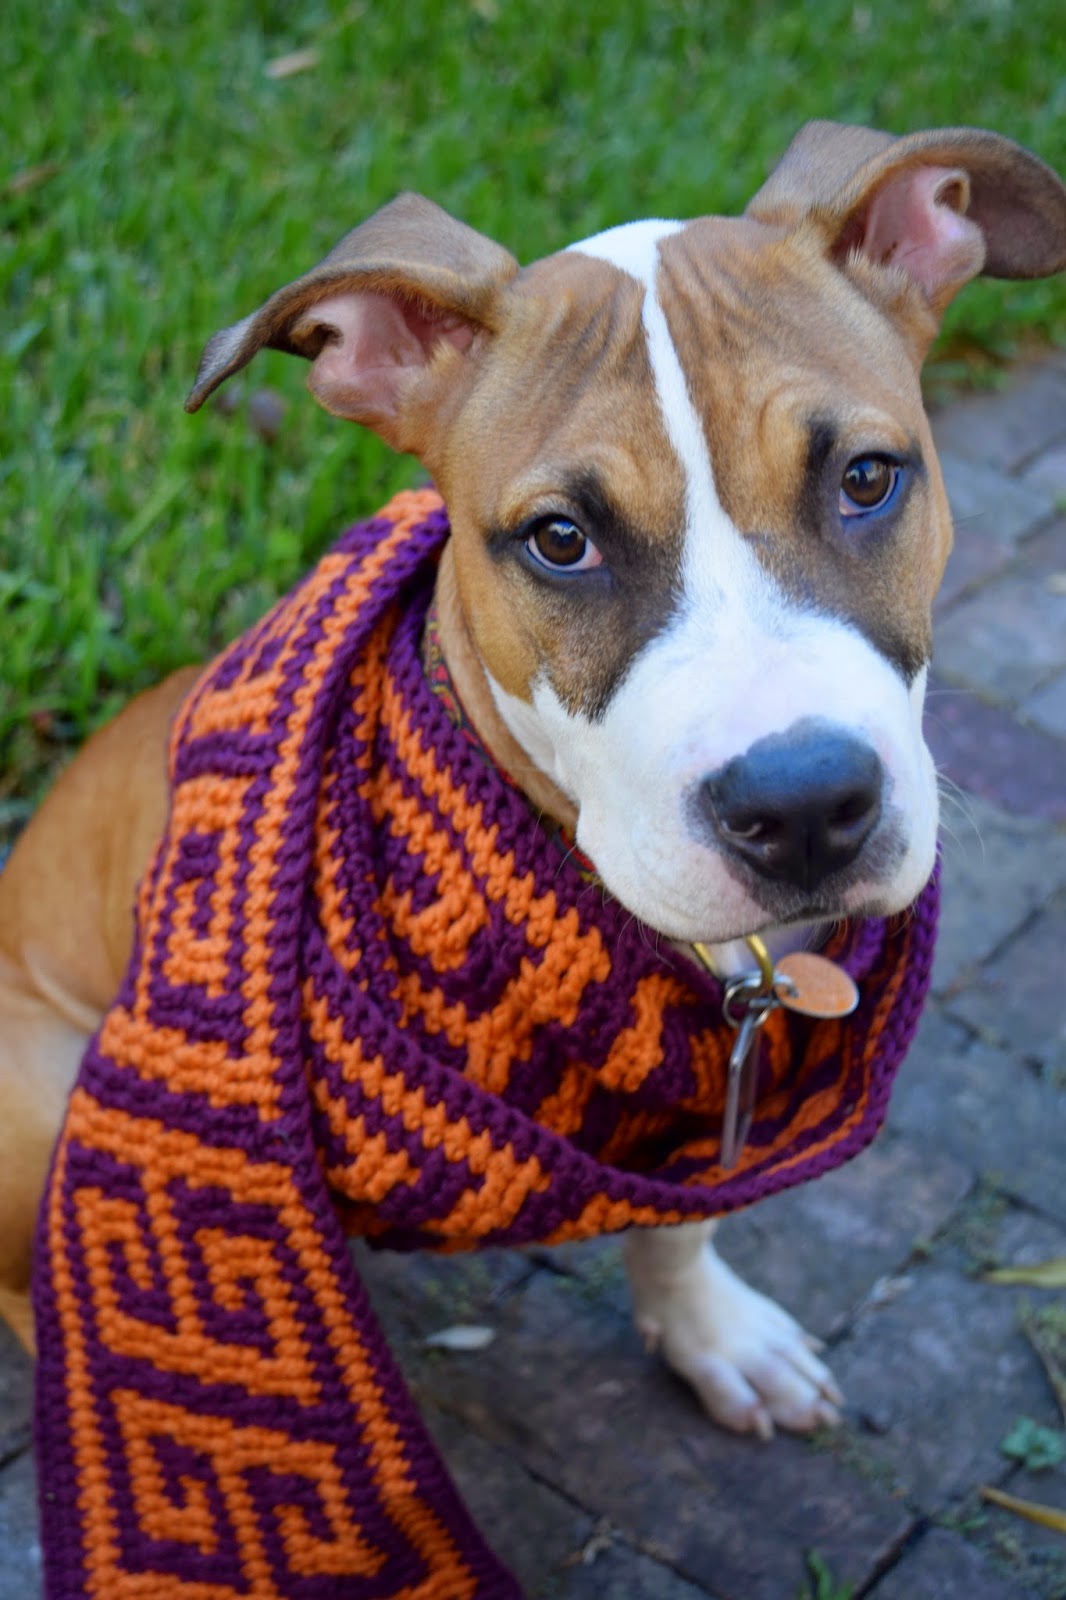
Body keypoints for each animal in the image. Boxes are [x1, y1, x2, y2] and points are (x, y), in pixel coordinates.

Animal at [2, 121, 1062, 1452]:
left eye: (867, 477)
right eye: (561, 540)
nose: (807, 808)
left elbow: (678, 1226)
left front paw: (713, 1336)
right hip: (40, 1089)